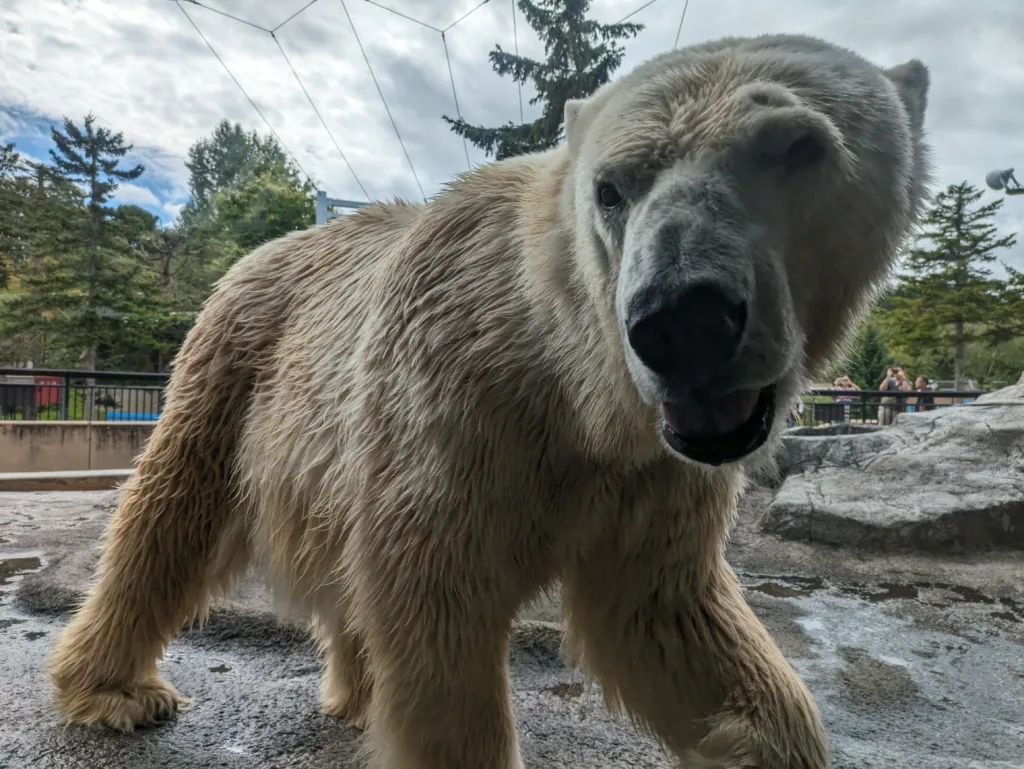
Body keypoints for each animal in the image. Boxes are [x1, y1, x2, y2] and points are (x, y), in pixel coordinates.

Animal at [48, 33, 929, 769]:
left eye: (800, 145)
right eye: (612, 188)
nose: (685, 320)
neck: (574, 383)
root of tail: (257, 253)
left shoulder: (652, 469)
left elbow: (668, 612)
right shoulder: (454, 404)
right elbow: (434, 599)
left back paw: (355, 691)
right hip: (238, 366)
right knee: (170, 512)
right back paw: (117, 688)